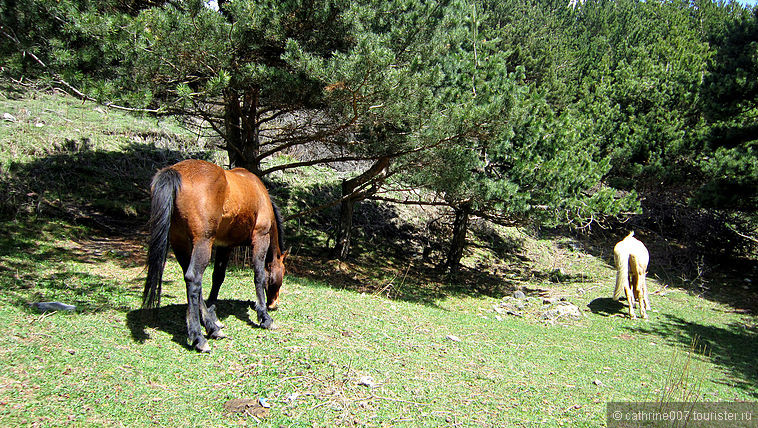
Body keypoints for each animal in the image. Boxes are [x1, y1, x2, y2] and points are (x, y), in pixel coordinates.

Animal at [142, 159, 288, 352]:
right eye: (282, 273)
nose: (273, 304)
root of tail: (175, 172)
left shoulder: (225, 246)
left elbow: (218, 277)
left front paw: (212, 312)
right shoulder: (261, 237)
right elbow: (259, 276)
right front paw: (264, 317)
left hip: (181, 244)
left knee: (192, 282)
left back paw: (211, 327)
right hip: (203, 243)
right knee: (193, 279)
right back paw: (199, 337)